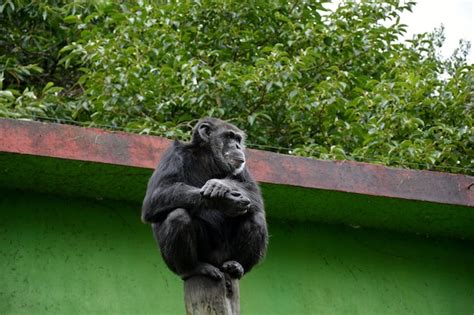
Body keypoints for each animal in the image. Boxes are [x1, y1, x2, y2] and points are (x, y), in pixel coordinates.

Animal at [140, 117, 266, 280]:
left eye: (238, 139)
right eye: (229, 136)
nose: (238, 146)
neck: (208, 157)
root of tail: (217, 263)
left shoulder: (242, 168)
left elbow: (253, 191)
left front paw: (221, 184)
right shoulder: (173, 153)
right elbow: (156, 195)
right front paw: (223, 201)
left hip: (226, 256)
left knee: (256, 218)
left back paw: (237, 266)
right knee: (178, 216)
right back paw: (192, 268)